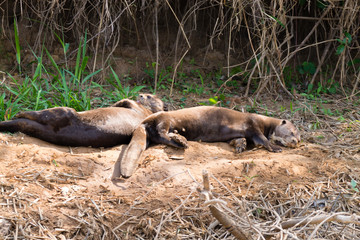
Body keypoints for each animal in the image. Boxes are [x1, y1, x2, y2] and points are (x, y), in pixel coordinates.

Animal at [0, 94, 166, 148]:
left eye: (148, 96)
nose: (140, 95)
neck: (147, 112)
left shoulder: (137, 108)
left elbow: (125, 101)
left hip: (63, 112)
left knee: (37, 114)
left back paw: (19, 112)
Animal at [118, 106, 300, 177]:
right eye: (292, 132)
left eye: (299, 138)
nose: (295, 142)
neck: (264, 122)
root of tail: (144, 122)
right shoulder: (253, 125)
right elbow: (261, 139)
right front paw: (275, 147)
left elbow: (239, 139)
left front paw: (240, 145)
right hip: (165, 118)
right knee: (162, 132)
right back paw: (181, 140)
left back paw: (179, 139)